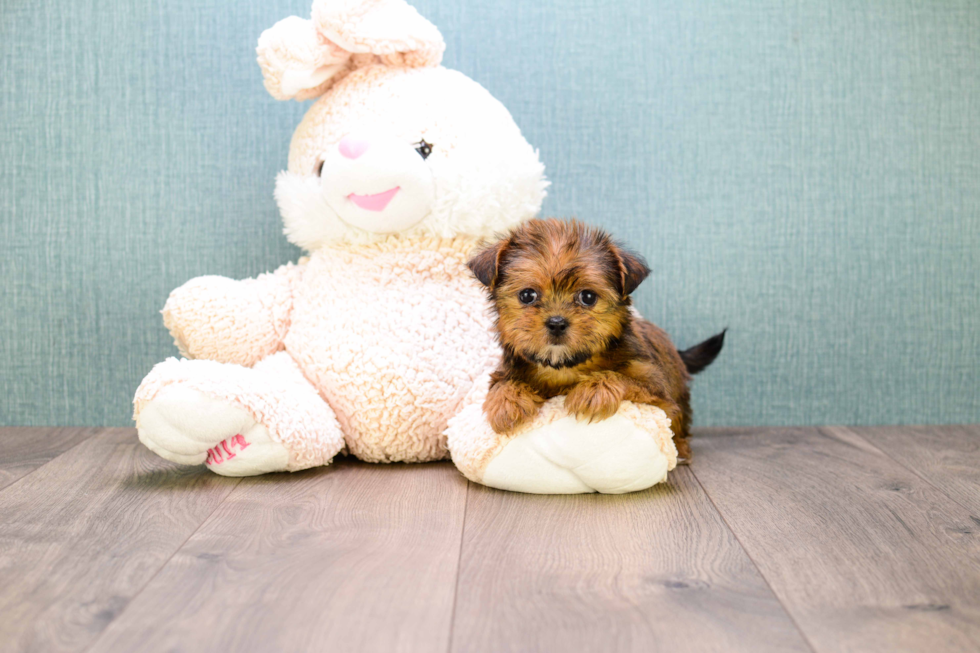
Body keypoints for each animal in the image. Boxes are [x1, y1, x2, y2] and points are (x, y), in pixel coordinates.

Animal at [470, 219, 724, 464]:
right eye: (527, 295)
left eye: (588, 297)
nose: (556, 322)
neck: (566, 366)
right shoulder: (506, 371)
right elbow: (502, 384)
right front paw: (507, 403)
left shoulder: (655, 388)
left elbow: (624, 378)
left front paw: (592, 391)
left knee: (680, 424)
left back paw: (681, 450)